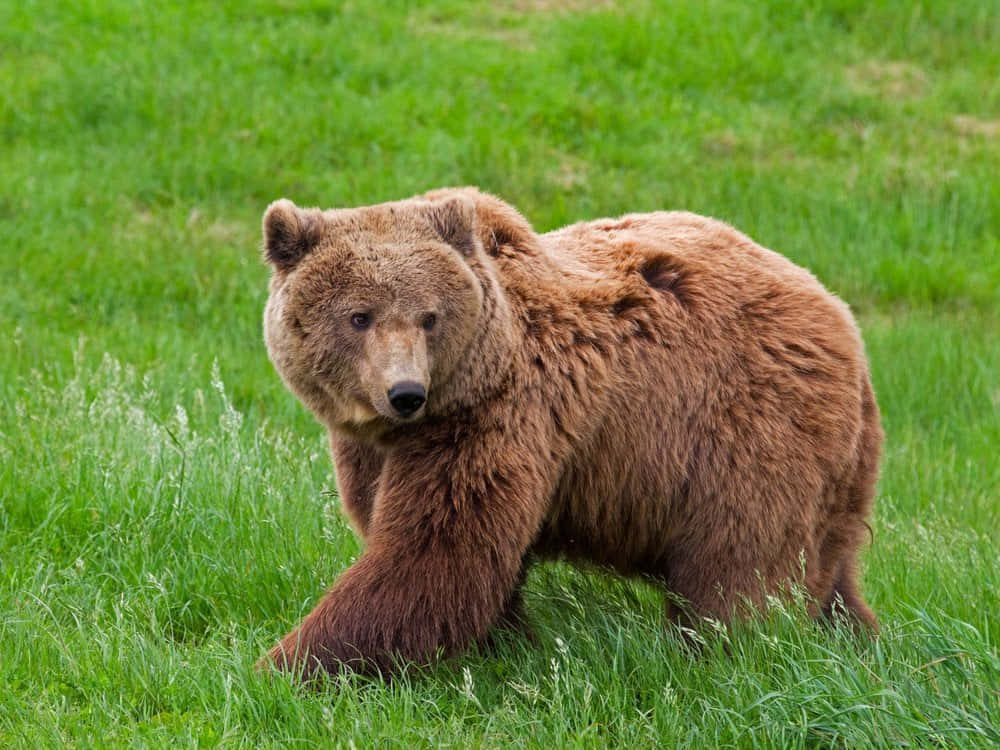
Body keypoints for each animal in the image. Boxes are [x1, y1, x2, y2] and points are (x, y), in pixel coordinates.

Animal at [258, 187, 882, 679]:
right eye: (358, 316)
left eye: (428, 317)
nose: (405, 392)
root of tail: (841, 317)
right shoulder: (374, 447)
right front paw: (508, 642)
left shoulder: (501, 415)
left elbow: (431, 556)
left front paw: (282, 666)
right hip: (835, 468)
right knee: (831, 566)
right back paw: (856, 637)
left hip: (748, 429)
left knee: (740, 566)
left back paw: (723, 651)